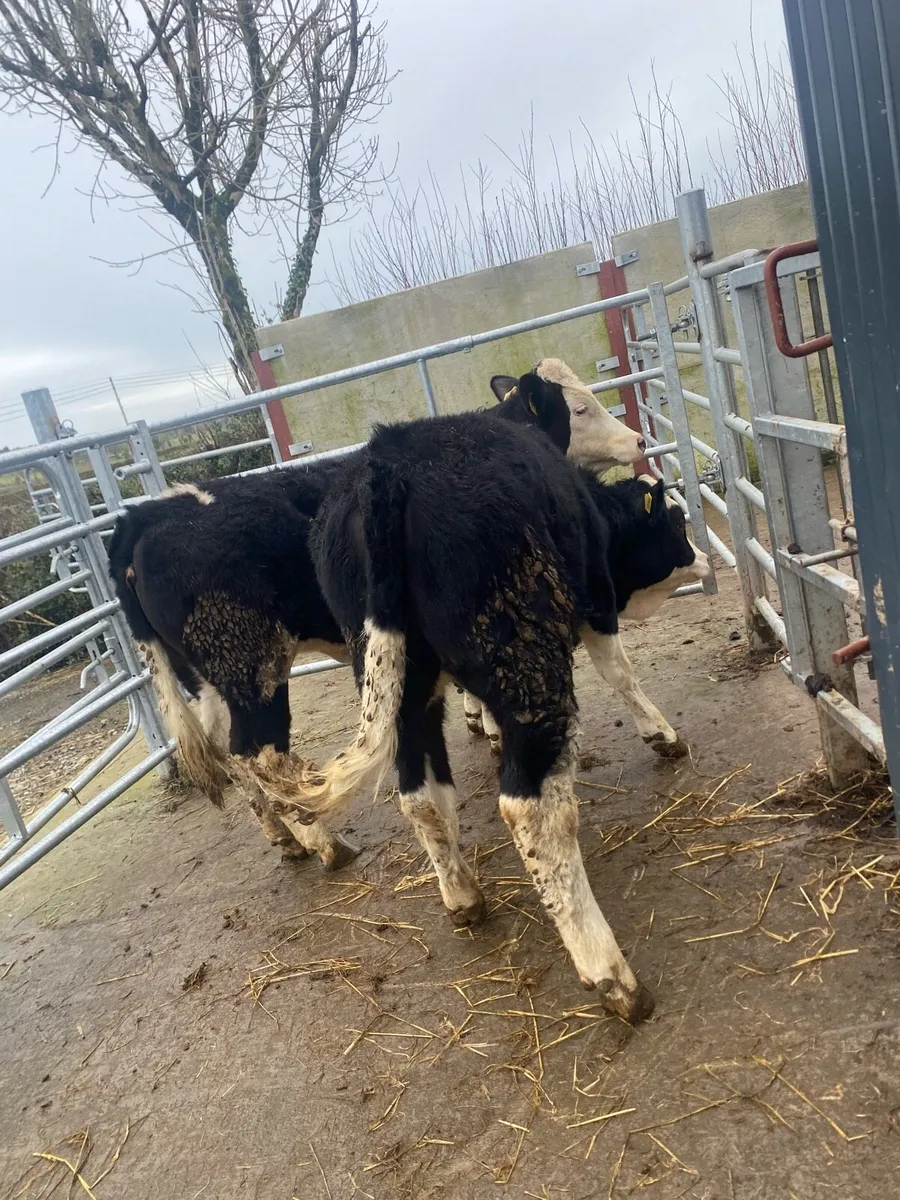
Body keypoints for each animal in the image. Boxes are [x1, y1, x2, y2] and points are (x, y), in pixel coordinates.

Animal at [109, 360, 646, 868]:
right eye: (579, 409)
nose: (638, 439)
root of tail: (146, 514)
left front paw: (482, 723)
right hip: (250, 669)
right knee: (257, 754)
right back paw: (324, 843)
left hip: (205, 678)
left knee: (229, 754)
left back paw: (285, 838)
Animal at [292, 384, 710, 1021]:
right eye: (677, 521)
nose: (708, 558)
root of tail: (385, 465)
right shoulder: (596, 599)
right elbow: (620, 672)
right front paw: (662, 735)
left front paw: (484, 728)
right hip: (528, 666)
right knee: (530, 808)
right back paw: (609, 971)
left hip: (401, 684)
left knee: (421, 796)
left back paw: (463, 894)